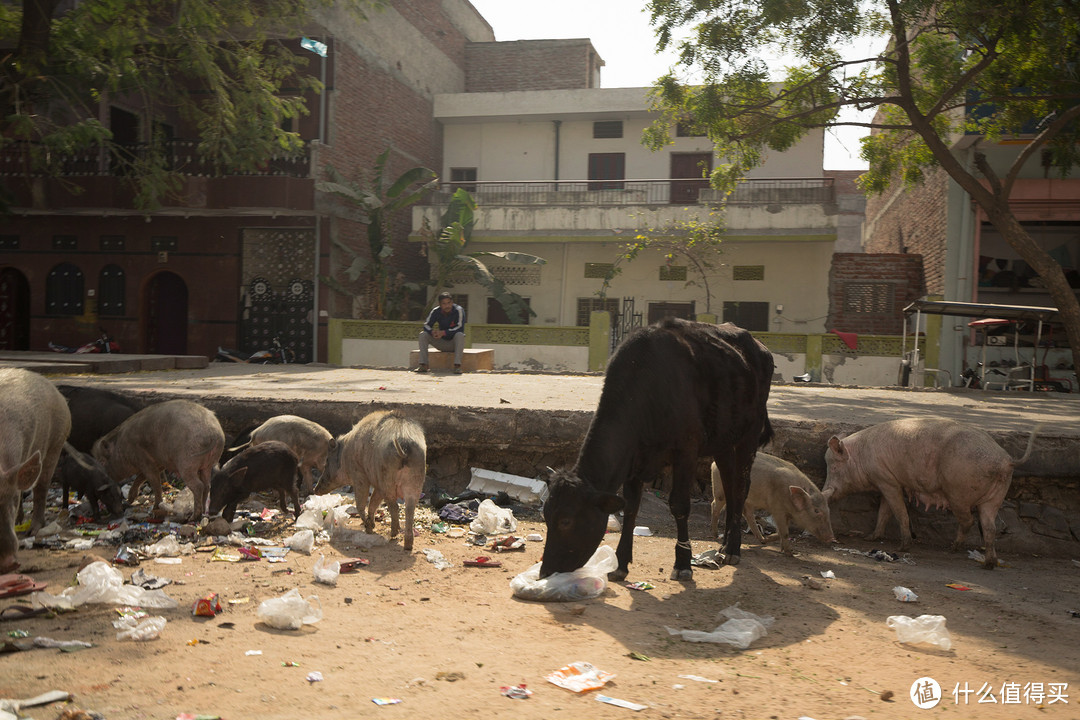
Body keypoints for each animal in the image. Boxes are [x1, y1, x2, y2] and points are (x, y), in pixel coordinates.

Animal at [544, 317, 773, 582]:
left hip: (750, 434)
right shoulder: (634, 460)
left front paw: (683, 563)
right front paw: (621, 563)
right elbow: (631, 508)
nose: (545, 570)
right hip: (724, 441)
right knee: (728, 485)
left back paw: (733, 548)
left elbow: (679, 505)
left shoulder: (686, 450)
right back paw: (724, 544)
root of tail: (759, 347)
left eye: (566, 521)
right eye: (546, 515)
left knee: (741, 486)